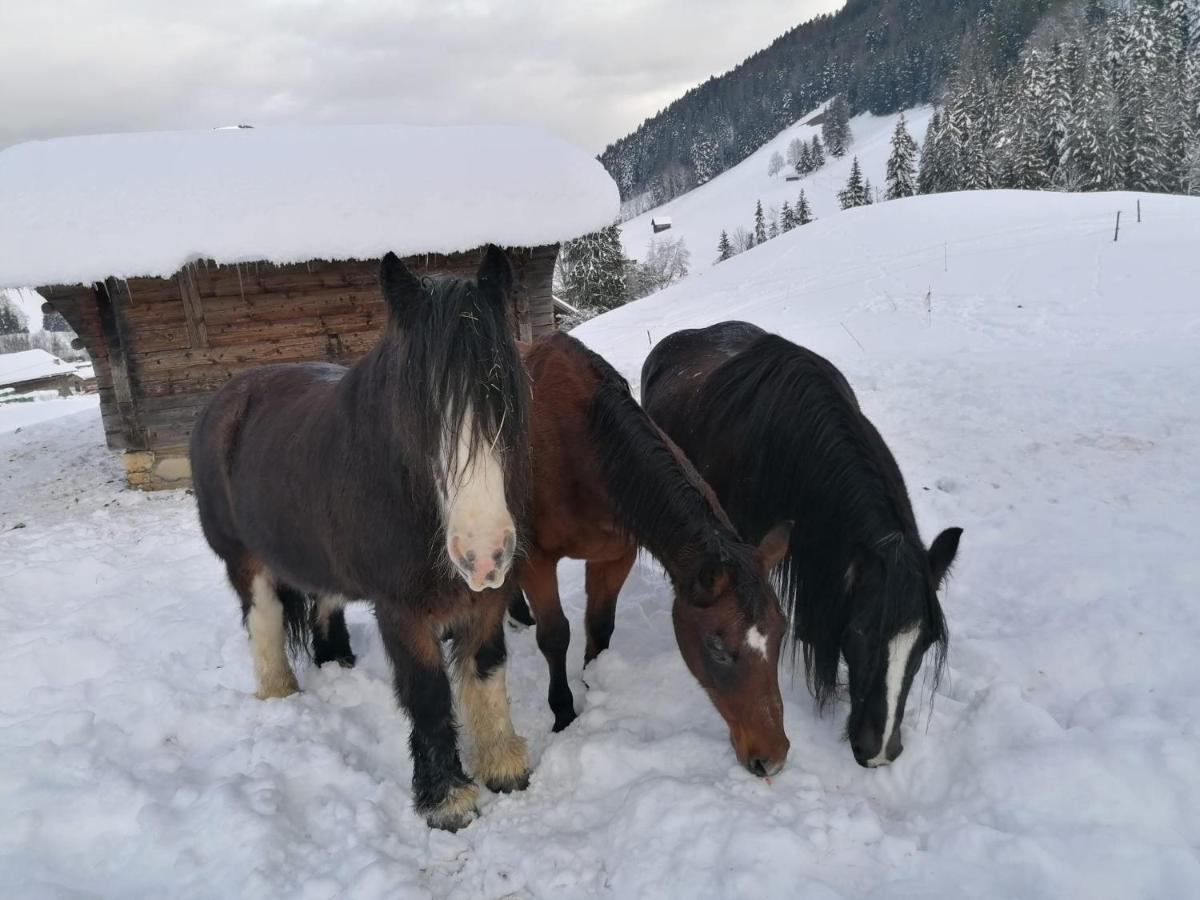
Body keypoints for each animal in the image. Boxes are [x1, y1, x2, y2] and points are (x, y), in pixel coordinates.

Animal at [190, 247, 530, 830]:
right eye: (417, 411)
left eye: (502, 395)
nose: (483, 553)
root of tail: (224, 401)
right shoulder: (402, 611)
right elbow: (429, 694)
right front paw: (447, 801)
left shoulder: (488, 599)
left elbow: (486, 672)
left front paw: (503, 765)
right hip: (242, 561)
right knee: (264, 618)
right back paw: (279, 694)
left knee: (323, 602)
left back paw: (337, 663)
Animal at [511, 336, 792, 777]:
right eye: (717, 648)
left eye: (781, 633)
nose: (773, 759)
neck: (585, 449)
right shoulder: (535, 561)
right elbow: (555, 636)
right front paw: (564, 714)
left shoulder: (615, 556)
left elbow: (600, 626)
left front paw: (594, 683)